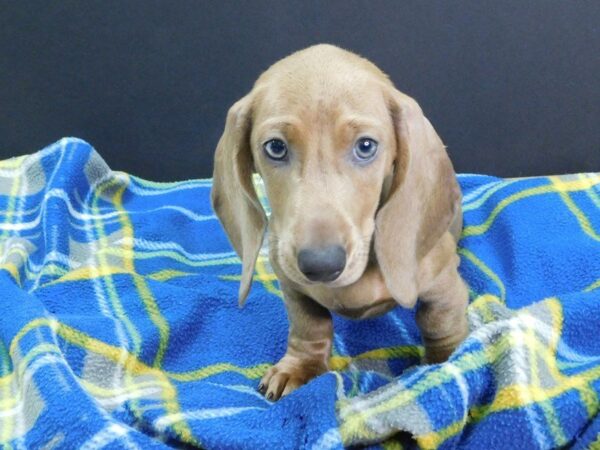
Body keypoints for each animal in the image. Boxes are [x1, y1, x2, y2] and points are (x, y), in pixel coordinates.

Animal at [211, 44, 468, 400]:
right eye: (275, 147)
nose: (321, 265)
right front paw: (299, 367)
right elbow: (309, 325)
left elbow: (440, 325)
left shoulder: (444, 286)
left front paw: (447, 365)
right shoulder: (291, 285)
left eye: (366, 146)